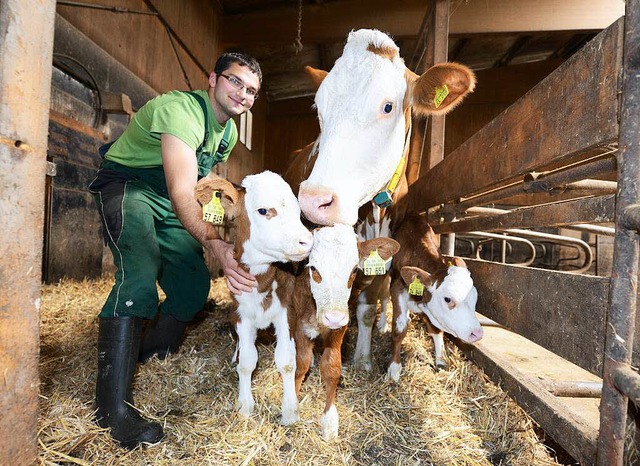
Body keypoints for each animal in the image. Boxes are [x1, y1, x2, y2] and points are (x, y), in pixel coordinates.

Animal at [195, 172, 316, 426]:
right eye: (263, 210)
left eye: (297, 211)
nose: (307, 241)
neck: (262, 282)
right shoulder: (241, 314)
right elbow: (248, 360)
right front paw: (245, 405)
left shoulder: (287, 312)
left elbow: (287, 360)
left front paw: (290, 410)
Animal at [288, 226, 398, 440]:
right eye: (313, 268)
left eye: (354, 270)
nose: (333, 317)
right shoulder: (300, 324)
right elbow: (301, 364)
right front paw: (292, 405)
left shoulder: (339, 328)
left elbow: (332, 367)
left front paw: (329, 419)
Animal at [382, 215, 482, 382]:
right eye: (448, 299)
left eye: (475, 297)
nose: (477, 333)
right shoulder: (397, 287)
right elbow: (399, 328)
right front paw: (394, 368)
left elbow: (436, 330)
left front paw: (440, 360)